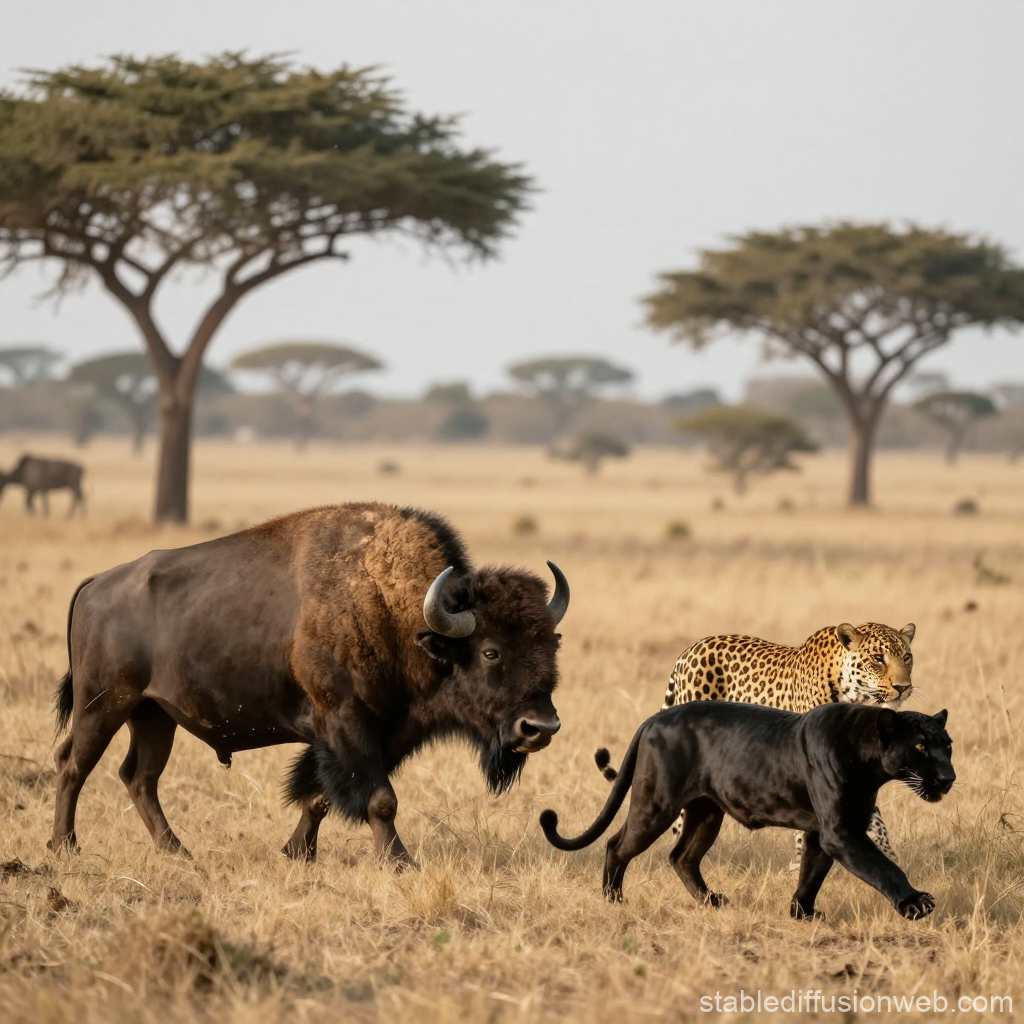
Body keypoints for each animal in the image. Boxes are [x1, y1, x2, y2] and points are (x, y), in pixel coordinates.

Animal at [51, 503, 569, 866]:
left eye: (552, 644)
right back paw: (65, 846)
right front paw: (400, 863)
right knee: (74, 766)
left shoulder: (374, 734)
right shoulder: (346, 724)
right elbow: (380, 800)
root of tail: (96, 583)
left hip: (154, 715)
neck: (393, 610)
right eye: (490, 651)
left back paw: (176, 851)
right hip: (104, 705)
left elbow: (320, 796)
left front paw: (297, 853)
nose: (540, 727)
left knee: (139, 777)